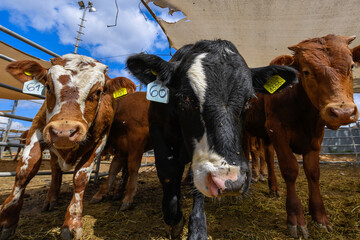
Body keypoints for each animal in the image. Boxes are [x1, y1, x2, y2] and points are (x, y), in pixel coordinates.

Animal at [0, 54, 136, 240]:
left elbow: (81, 177)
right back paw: (51, 199)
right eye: (48, 86)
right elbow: (25, 171)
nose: (64, 132)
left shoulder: (100, 141)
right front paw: (8, 218)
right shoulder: (37, 128)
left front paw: (72, 222)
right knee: (54, 170)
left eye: (98, 92)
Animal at [125, 40, 296, 239]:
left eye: (248, 101)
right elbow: (167, 172)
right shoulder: (156, 127)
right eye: (186, 98)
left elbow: (196, 184)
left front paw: (197, 228)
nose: (229, 180)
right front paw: (173, 219)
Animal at [245, 34, 360, 239]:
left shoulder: (316, 136)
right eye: (306, 72)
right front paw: (296, 219)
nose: (343, 112)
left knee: (267, 156)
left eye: (352, 66)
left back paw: (273, 187)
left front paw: (320, 218)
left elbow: (313, 172)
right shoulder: (277, 130)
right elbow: (290, 169)